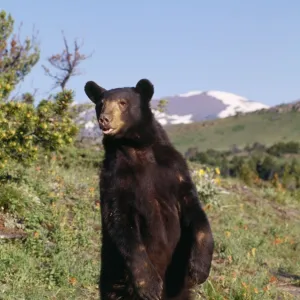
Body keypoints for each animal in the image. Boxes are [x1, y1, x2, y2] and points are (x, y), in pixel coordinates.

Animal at [84, 78, 214, 298]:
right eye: (100, 104)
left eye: (123, 102)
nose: (104, 119)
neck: (137, 149)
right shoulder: (114, 178)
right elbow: (121, 223)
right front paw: (150, 286)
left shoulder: (175, 170)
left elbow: (194, 210)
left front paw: (199, 268)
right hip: (114, 277)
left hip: (178, 284)